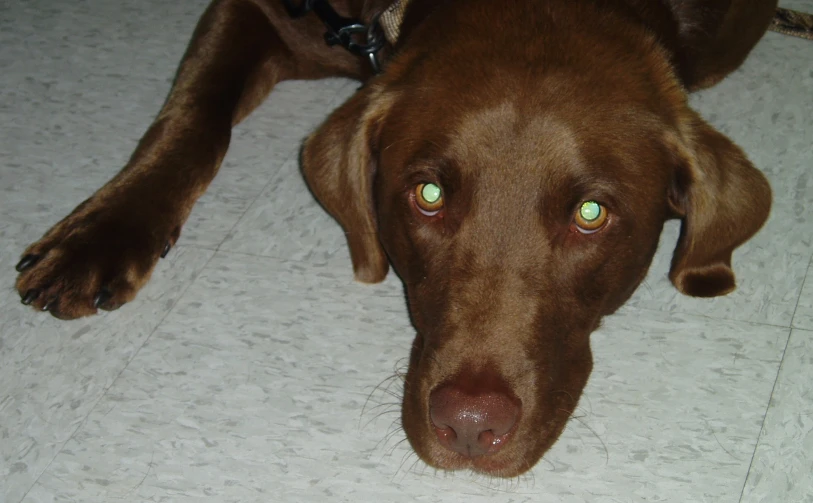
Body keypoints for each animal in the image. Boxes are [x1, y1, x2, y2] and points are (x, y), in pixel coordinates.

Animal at [14, 0, 772, 478]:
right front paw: (99, 234)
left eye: (590, 213)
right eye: (428, 196)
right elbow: (194, 113)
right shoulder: (267, 10)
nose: (469, 426)